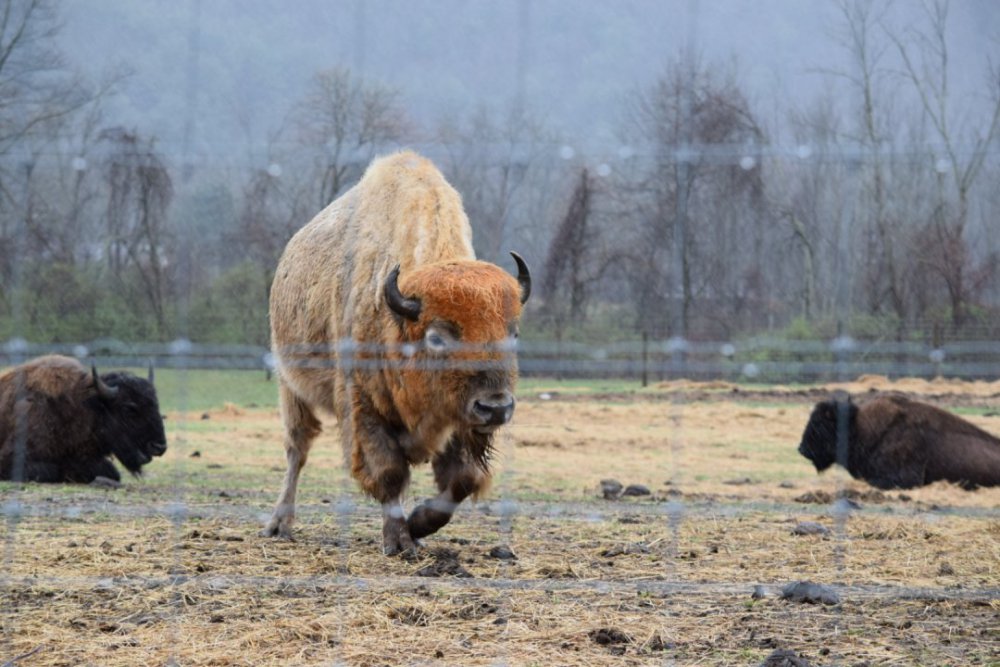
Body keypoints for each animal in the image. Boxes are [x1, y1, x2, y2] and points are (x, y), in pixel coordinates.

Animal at [262, 150, 530, 554]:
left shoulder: (457, 421)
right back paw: (280, 524)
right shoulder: (364, 406)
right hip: (289, 387)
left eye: (513, 333)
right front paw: (399, 540)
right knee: (297, 449)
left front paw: (418, 524)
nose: (495, 407)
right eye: (437, 337)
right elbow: (388, 472)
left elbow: (462, 480)